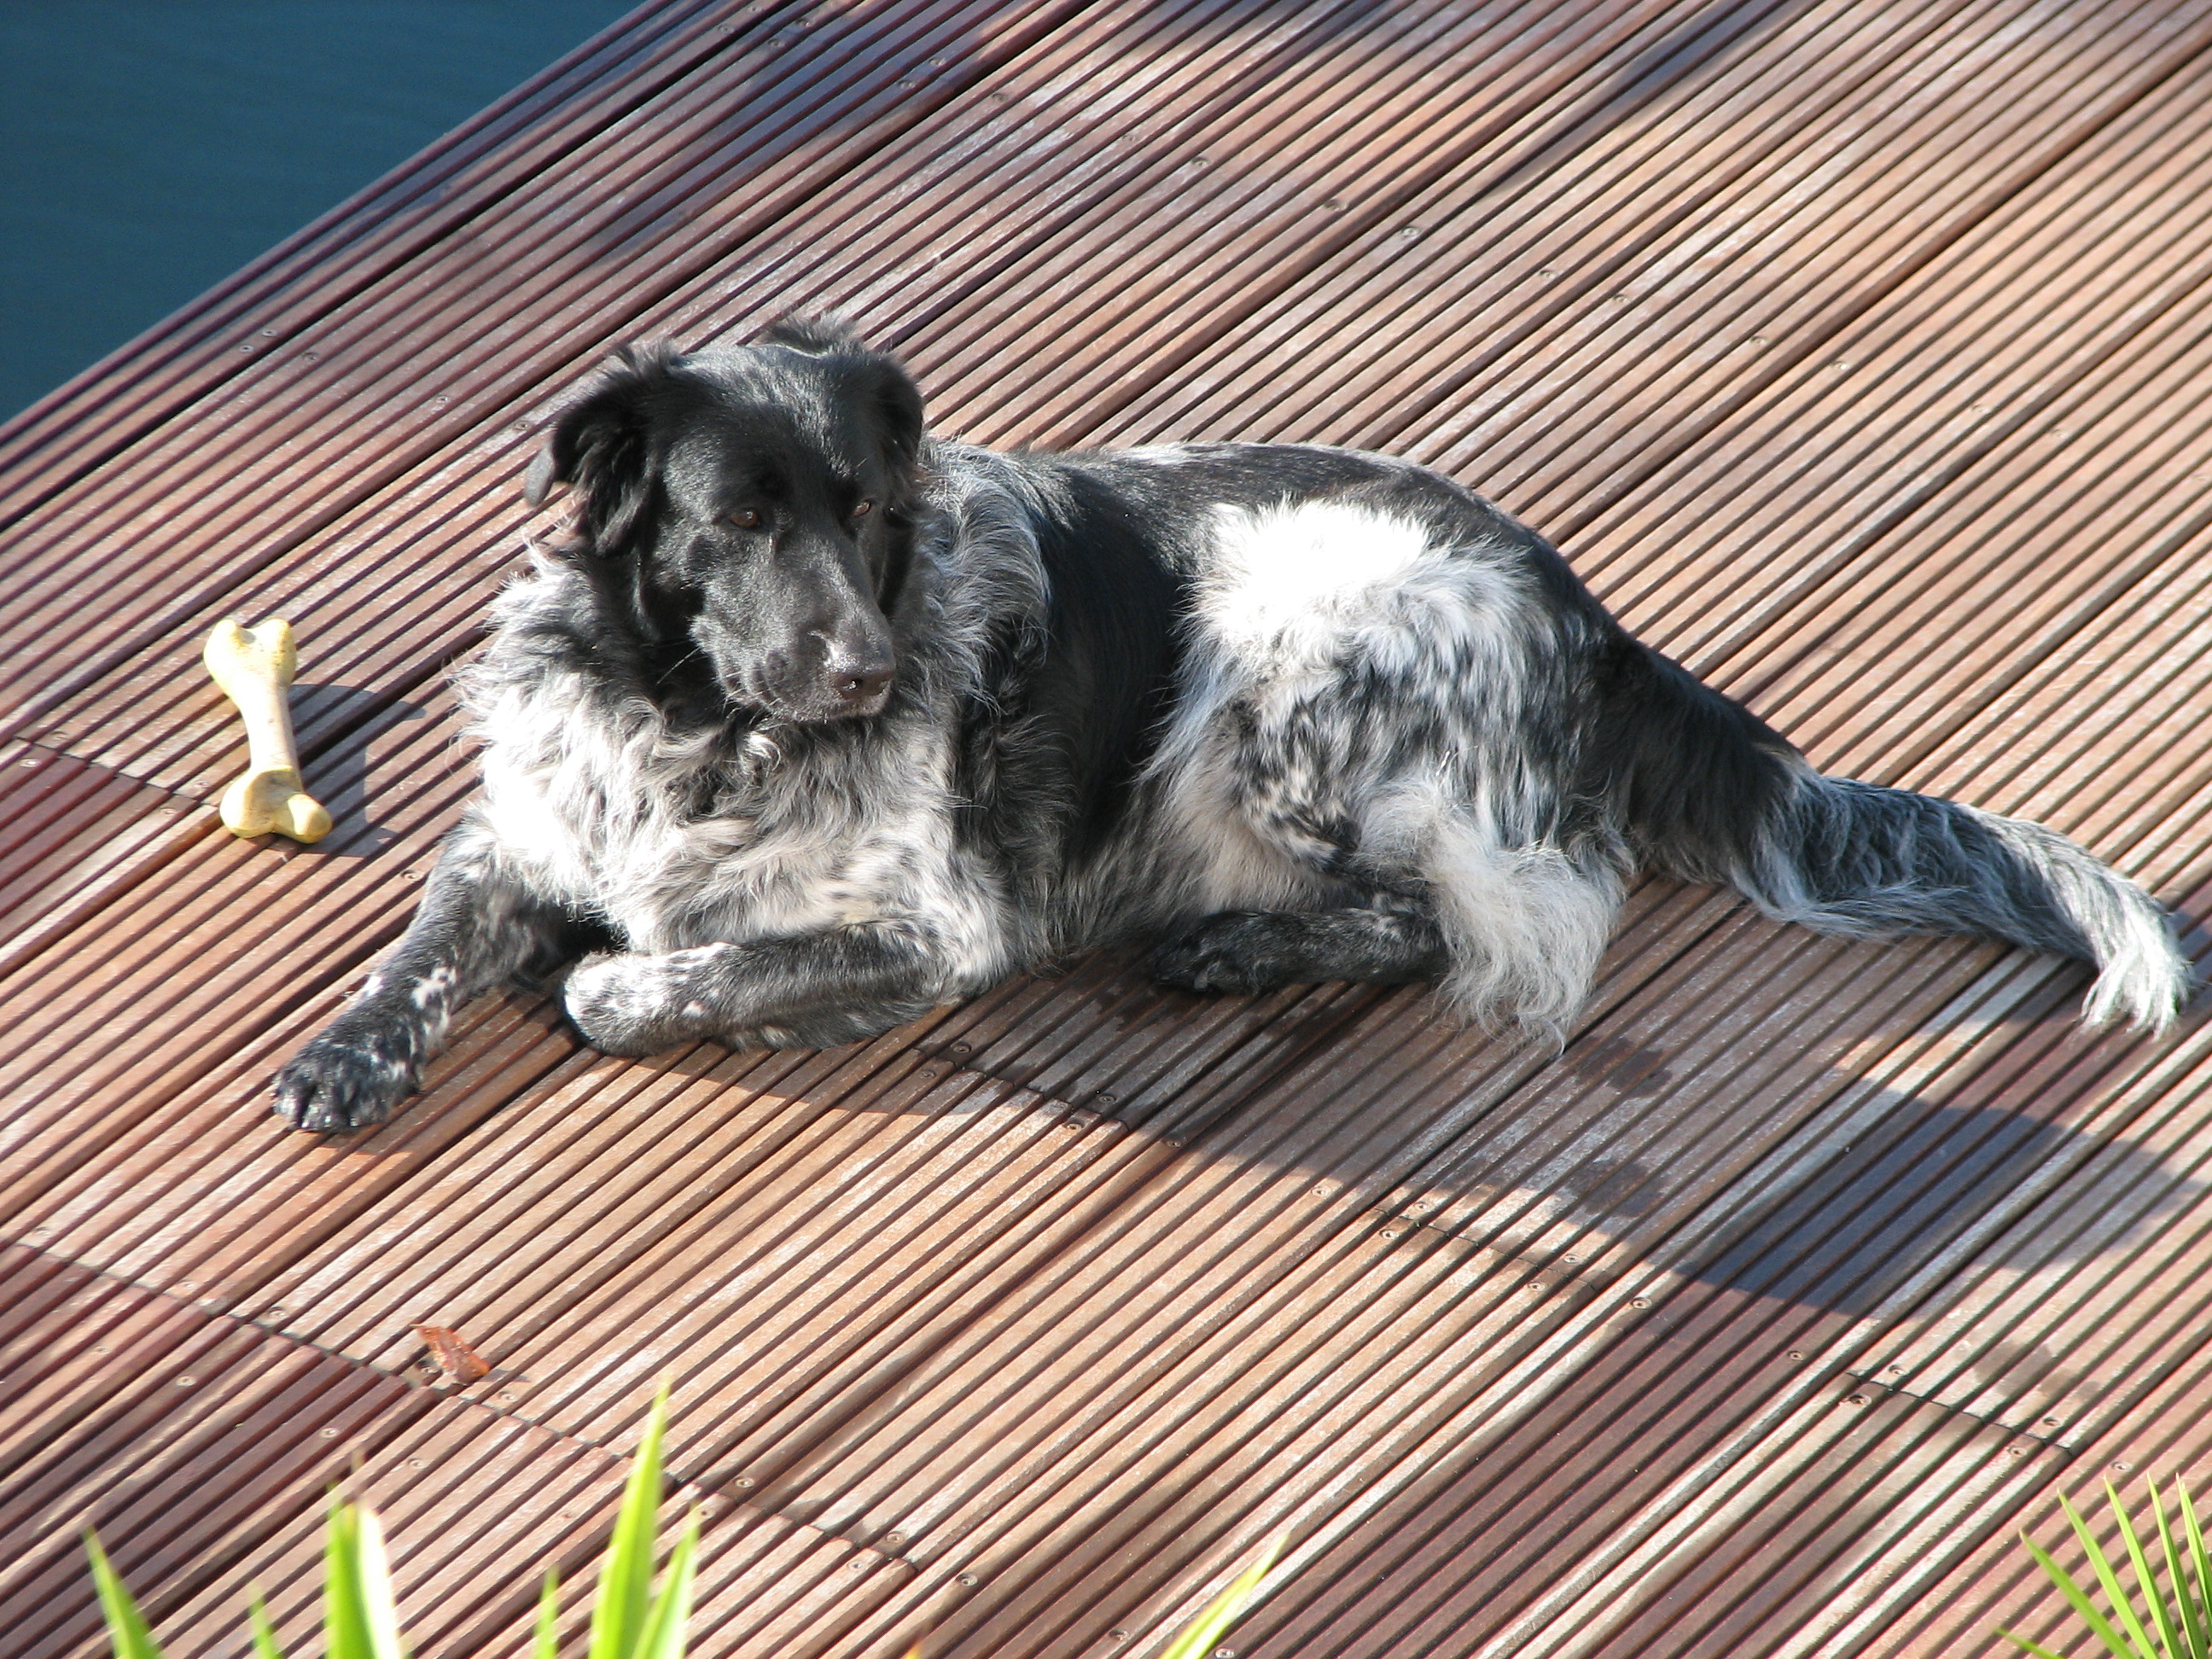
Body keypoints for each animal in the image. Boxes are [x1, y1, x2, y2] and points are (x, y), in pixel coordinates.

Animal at [272, 319, 2191, 1132]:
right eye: (734, 520)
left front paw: (621, 983)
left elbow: (630, 982)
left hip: (1280, 659)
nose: (868, 672)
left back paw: (1228, 946)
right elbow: (423, 945)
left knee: (1473, 928)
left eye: (870, 512)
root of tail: (1589, 617)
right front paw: (347, 1053)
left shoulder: (931, 934)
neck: (694, 731)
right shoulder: (524, 822)